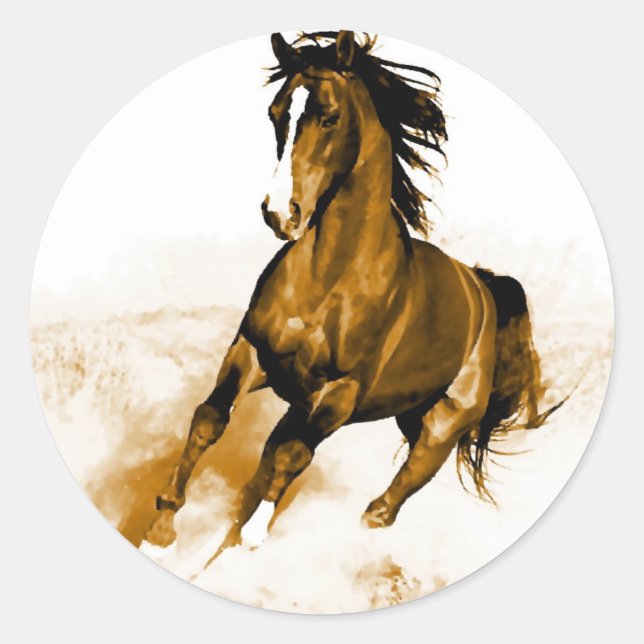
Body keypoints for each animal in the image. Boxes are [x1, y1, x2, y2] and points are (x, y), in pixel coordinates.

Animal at [144, 31, 557, 555]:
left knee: (387, 500)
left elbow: (293, 456)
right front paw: (161, 528)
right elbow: (210, 420)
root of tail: (482, 287)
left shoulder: (340, 392)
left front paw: (255, 535)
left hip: (439, 425)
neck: (329, 280)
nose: (280, 213)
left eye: (329, 116)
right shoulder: (254, 353)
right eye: (276, 114)